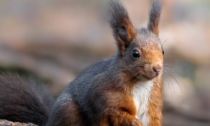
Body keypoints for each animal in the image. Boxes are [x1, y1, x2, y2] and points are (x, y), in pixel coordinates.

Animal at [0, 0, 164, 126]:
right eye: (135, 54)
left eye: (162, 51)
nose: (157, 68)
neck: (141, 84)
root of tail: (49, 121)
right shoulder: (105, 94)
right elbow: (115, 112)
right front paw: (134, 121)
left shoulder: (152, 106)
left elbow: (153, 120)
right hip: (68, 111)